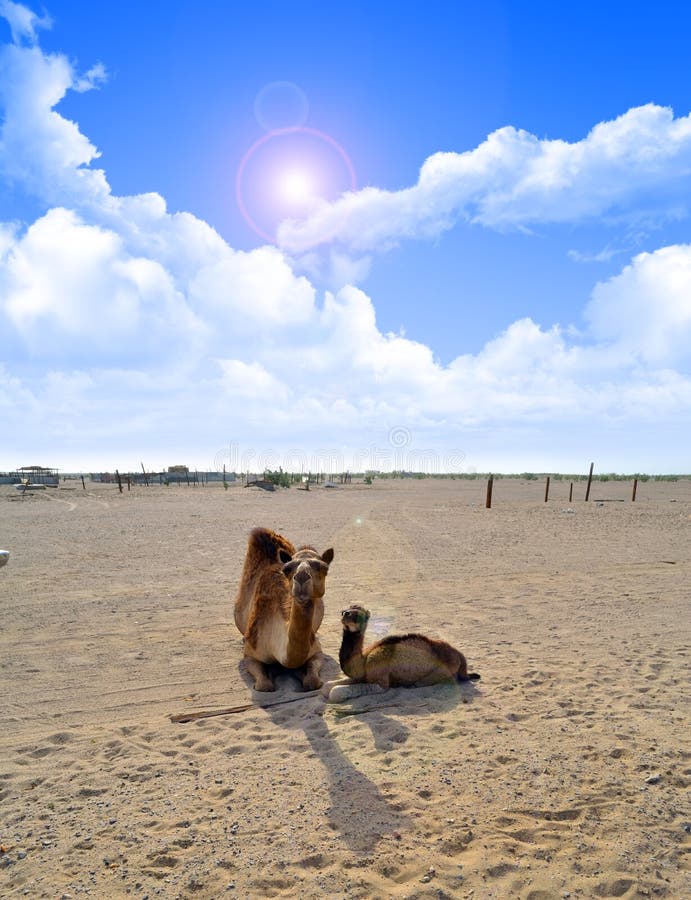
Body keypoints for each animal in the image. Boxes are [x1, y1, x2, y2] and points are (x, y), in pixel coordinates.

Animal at [234, 524, 336, 692]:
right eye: (287, 568)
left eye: (324, 568)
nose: (301, 577)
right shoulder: (250, 654)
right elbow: (264, 685)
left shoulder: (316, 650)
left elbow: (312, 681)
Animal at [330, 604, 482, 704]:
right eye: (345, 611)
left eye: (358, 614)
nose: (346, 614)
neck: (363, 660)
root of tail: (459, 655)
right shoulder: (361, 676)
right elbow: (328, 685)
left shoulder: (380, 678)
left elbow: (335, 691)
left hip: (442, 670)